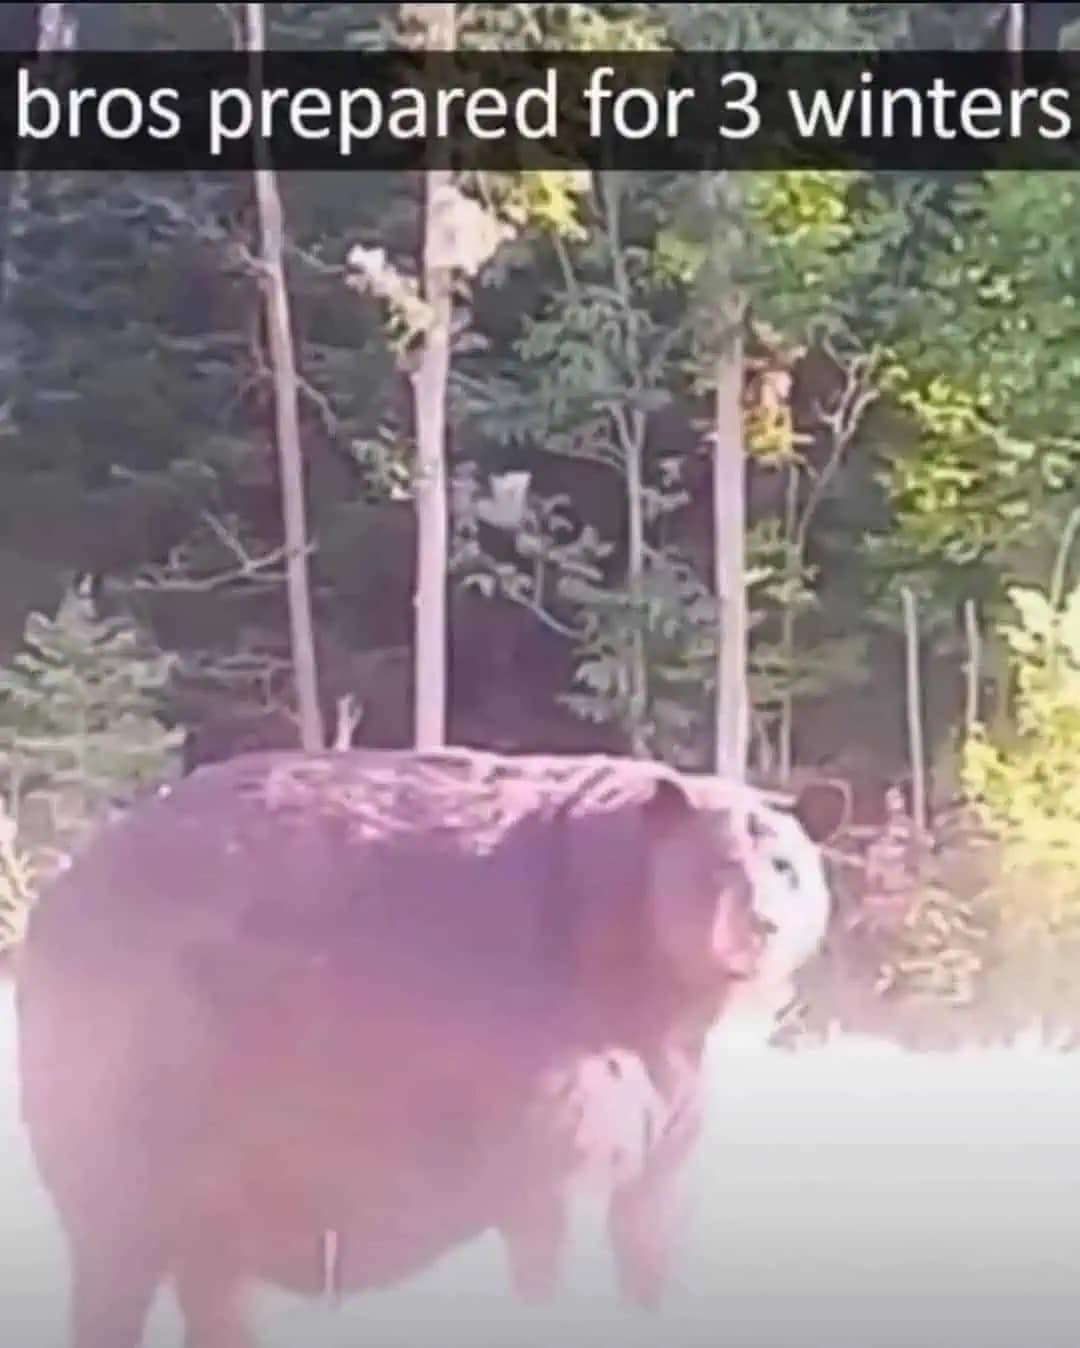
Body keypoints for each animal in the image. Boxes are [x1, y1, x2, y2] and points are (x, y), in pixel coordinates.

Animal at [15, 748, 845, 1348]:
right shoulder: (548, 1065)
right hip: (126, 1075)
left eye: (786, 866)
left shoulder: (677, 1098)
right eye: (716, 865)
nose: (761, 925)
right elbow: (556, 1204)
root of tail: (60, 893)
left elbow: (655, 1221)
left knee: (215, 1282)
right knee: (115, 1252)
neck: (662, 991)